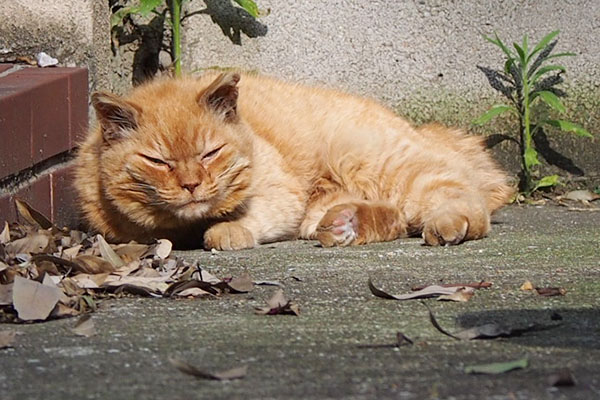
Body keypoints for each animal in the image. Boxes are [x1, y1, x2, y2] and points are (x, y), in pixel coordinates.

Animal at [74, 70, 510, 248]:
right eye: (158, 161)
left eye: (210, 153)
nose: (191, 184)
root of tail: (420, 129)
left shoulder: (280, 194)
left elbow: (249, 218)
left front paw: (226, 232)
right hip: (329, 206)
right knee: (396, 219)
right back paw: (346, 225)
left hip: (380, 164)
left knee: (460, 197)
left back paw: (450, 224)